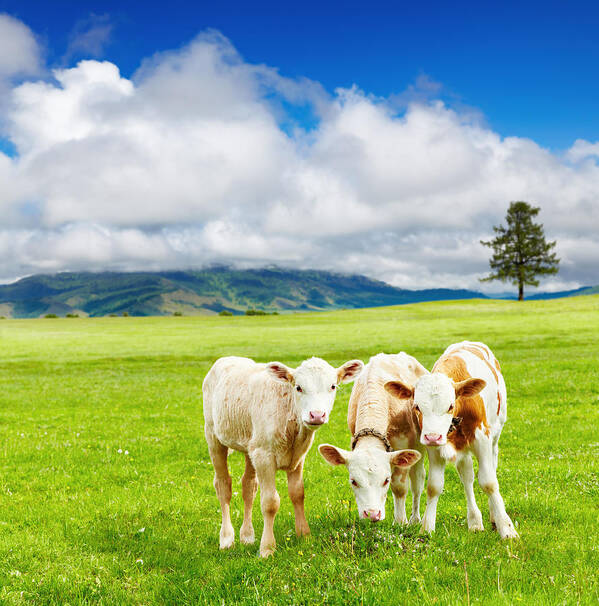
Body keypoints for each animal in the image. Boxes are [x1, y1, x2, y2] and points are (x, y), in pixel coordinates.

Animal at [202, 356, 364, 560]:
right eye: (298, 387)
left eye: (333, 386)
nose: (317, 415)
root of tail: (228, 358)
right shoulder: (264, 456)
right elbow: (270, 502)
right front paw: (267, 548)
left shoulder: (298, 456)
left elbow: (298, 494)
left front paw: (304, 535)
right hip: (213, 437)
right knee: (223, 485)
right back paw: (226, 539)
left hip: (250, 445)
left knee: (248, 485)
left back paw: (247, 536)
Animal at [318, 354, 426, 524]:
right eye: (353, 481)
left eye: (386, 480)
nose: (372, 514)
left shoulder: (404, 446)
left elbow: (400, 487)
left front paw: (400, 522)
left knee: (417, 482)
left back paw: (415, 519)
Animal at [386, 342, 516, 540]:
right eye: (417, 406)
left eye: (450, 406)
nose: (433, 436)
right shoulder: (434, 448)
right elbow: (434, 486)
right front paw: (427, 527)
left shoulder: (482, 441)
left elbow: (489, 483)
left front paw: (507, 529)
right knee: (467, 477)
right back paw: (475, 521)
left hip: (495, 437)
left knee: (491, 468)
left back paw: (494, 516)